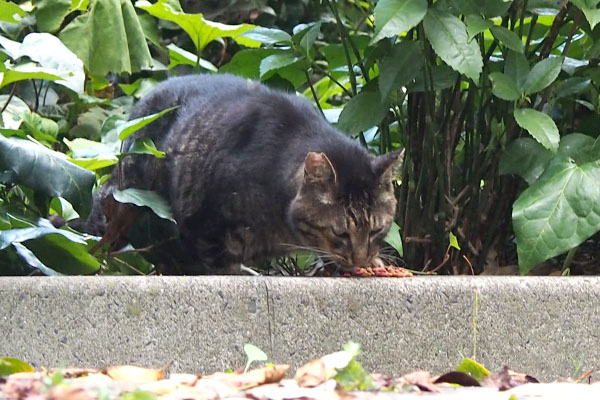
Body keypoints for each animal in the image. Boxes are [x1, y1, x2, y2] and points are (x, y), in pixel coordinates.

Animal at [85, 73, 404, 274]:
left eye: (377, 230)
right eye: (340, 233)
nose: (360, 259)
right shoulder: (203, 218)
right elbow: (218, 260)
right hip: (130, 195)